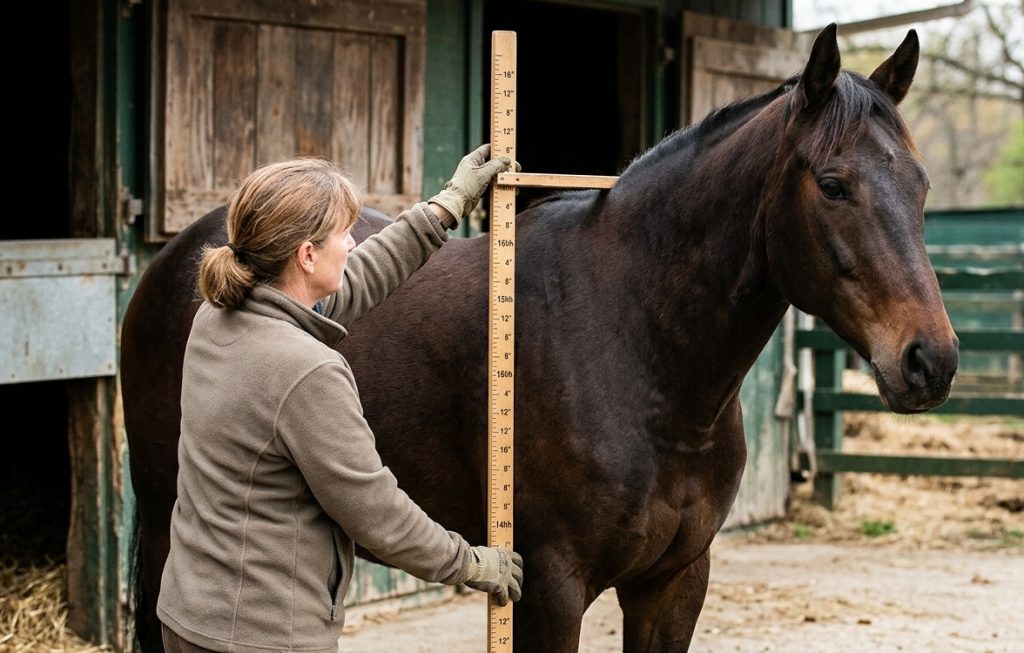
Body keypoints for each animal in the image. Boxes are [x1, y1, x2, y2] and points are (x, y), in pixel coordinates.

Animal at [121, 24, 957, 652]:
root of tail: (192, 252)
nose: (932, 360)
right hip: (165, 514)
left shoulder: (673, 584)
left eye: (921, 186)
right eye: (833, 185)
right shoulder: (551, 588)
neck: (640, 350)